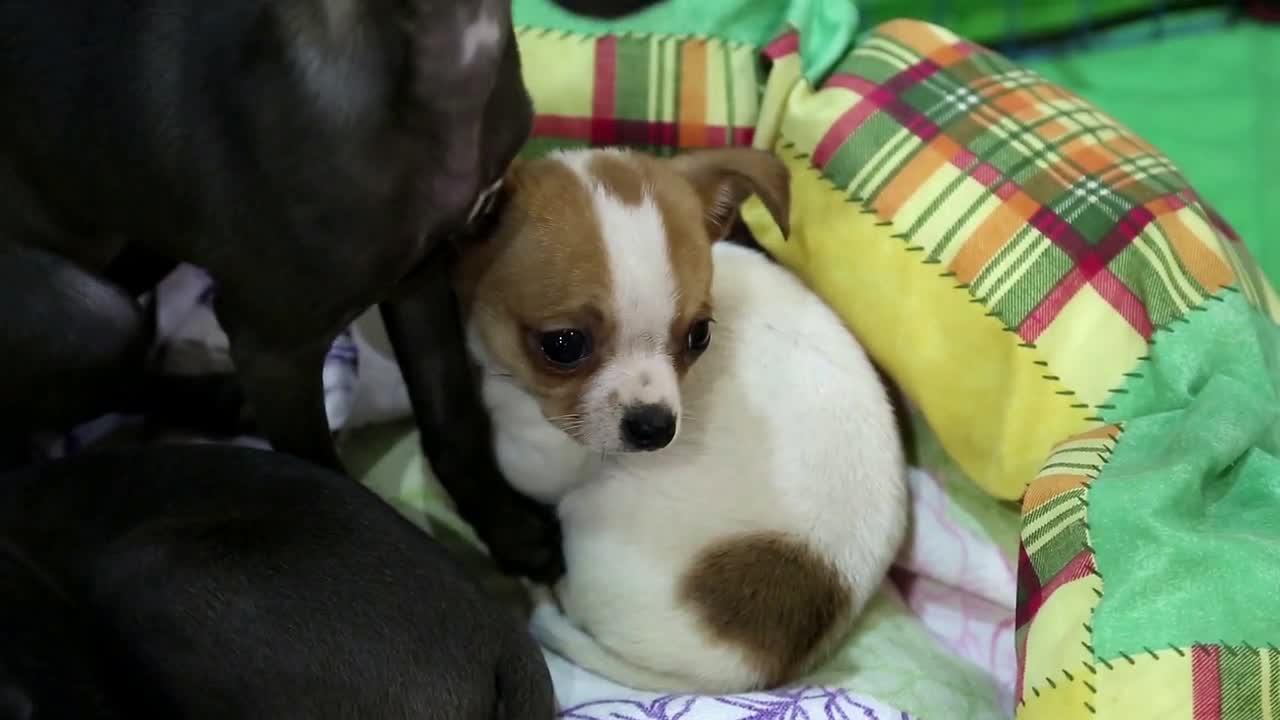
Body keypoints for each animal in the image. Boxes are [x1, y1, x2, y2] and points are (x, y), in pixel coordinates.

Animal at [0, 0, 660, 579]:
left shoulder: (420, 275)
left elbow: (453, 419)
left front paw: (506, 528)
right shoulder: (271, 348)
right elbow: (322, 475)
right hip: (94, 318)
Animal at [455, 144, 906, 691]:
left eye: (699, 335)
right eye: (563, 345)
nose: (655, 428)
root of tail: (741, 672)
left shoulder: (543, 457)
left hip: (591, 514)